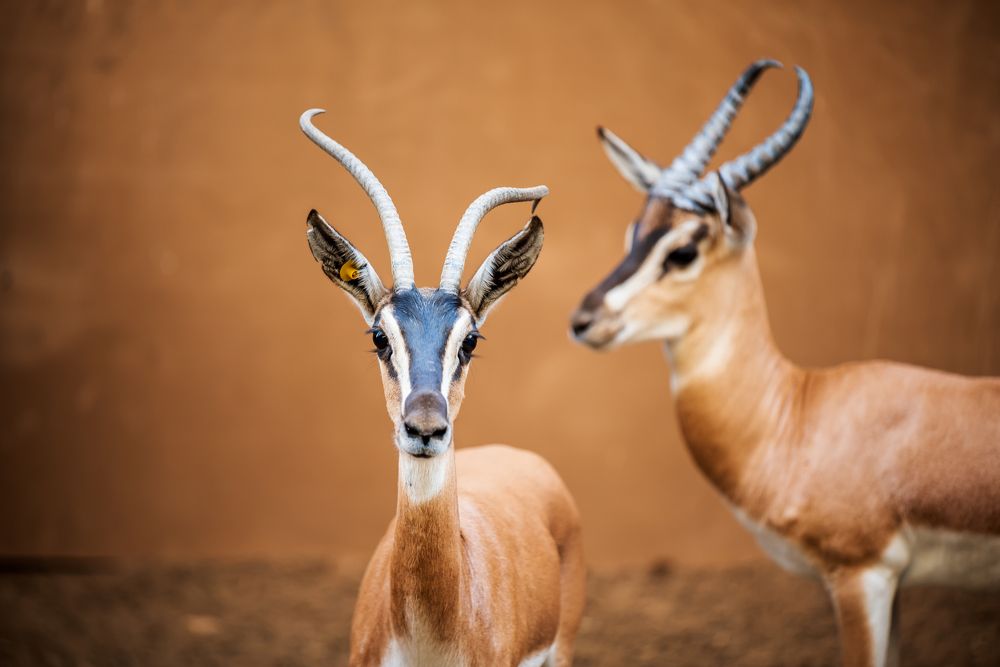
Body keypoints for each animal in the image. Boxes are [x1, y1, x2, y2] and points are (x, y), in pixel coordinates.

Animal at [569, 61, 1000, 667]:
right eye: (634, 233)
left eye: (683, 250)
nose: (584, 319)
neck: (797, 417)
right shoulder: (892, 585)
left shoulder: (860, 574)